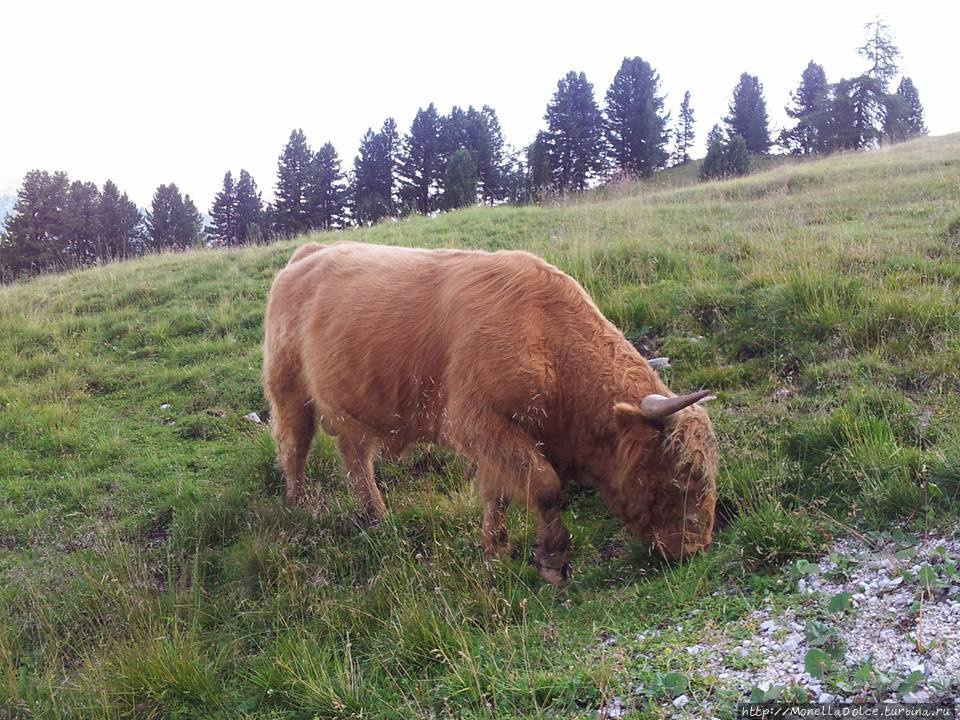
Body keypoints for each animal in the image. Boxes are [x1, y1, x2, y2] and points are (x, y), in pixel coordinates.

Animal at [260, 240, 712, 584]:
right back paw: (300, 505)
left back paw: (376, 515)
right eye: (682, 473)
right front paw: (553, 560)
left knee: (356, 458)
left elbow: (501, 492)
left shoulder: (498, 437)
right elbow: (544, 484)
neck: (549, 343)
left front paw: (496, 547)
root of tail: (308, 252)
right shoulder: (475, 421)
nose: (695, 547)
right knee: (293, 447)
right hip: (289, 391)